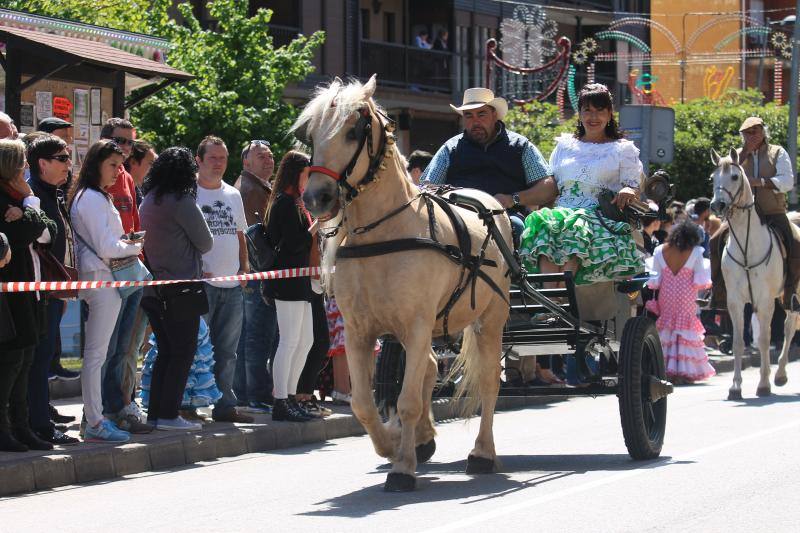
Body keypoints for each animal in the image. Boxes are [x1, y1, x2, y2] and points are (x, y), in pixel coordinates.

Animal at [294, 75, 512, 491]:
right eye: (311, 135)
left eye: (353, 131)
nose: (316, 198)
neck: (384, 234)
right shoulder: (360, 331)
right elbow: (365, 404)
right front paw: (394, 445)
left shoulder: (416, 324)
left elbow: (407, 400)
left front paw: (402, 469)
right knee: (428, 367)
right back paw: (424, 439)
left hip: (491, 319)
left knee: (490, 382)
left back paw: (482, 452)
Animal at [709, 147, 796, 400]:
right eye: (713, 178)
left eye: (734, 176)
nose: (717, 206)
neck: (748, 246)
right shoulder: (736, 302)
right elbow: (738, 342)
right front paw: (735, 387)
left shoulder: (764, 300)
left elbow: (765, 339)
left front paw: (764, 384)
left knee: (789, 327)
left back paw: (780, 375)